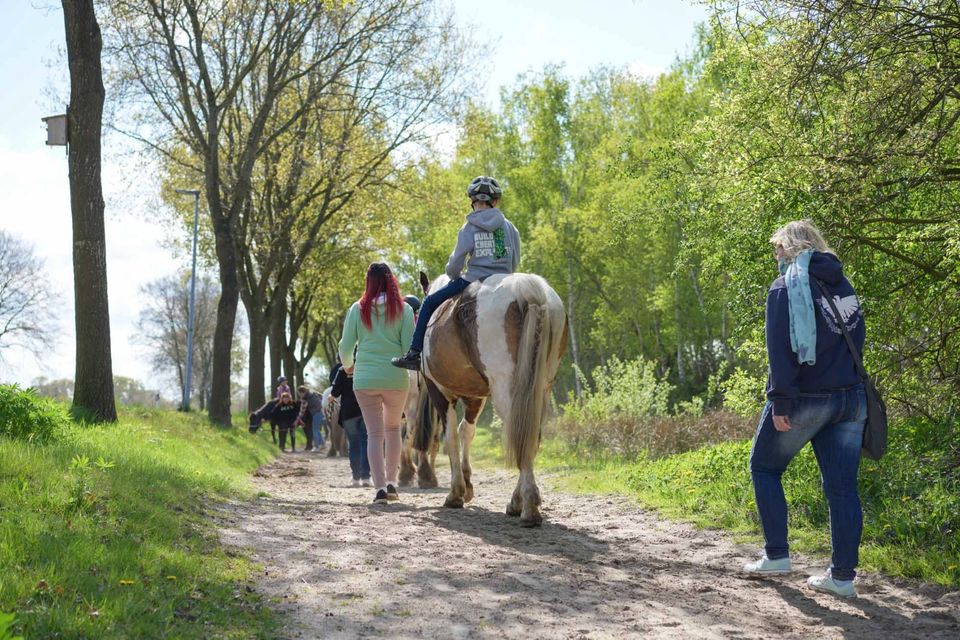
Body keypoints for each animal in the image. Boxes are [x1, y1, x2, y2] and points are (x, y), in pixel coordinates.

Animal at [410, 270, 568, 524]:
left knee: (519, 433)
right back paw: (518, 502)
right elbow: (466, 431)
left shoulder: (439, 391)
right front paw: (467, 484)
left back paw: (528, 506)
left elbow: (451, 437)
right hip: (540, 389)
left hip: (505, 388)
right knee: (530, 436)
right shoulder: (475, 396)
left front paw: (456, 493)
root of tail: (528, 289)